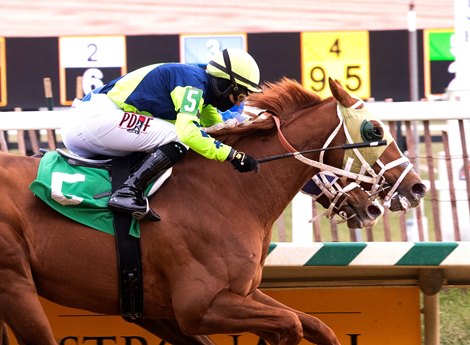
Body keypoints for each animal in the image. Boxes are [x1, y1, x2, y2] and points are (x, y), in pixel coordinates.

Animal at [0, 78, 424, 344]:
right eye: (374, 131)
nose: (416, 187)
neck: (229, 193)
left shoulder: (215, 299)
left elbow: (317, 326)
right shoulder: (199, 306)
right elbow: (289, 325)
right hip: (16, 286)